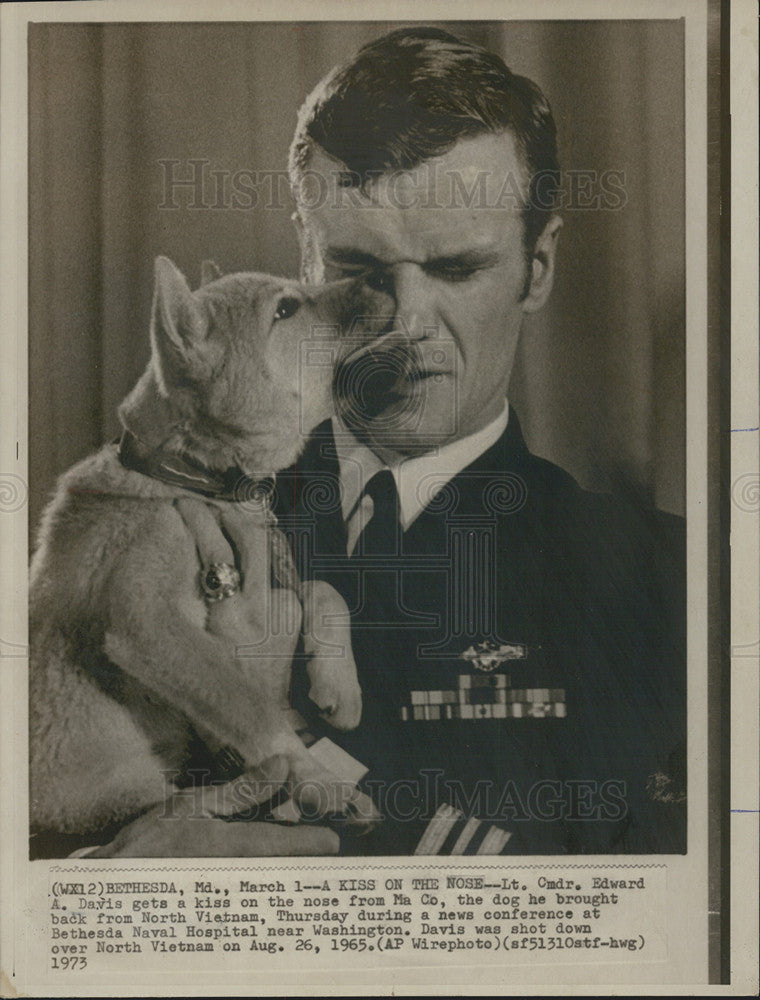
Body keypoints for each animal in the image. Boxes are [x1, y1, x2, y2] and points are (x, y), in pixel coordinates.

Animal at [29, 254, 388, 840]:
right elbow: (248, 709)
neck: (188, 476)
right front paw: (317, 777)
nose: (385, 275)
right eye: (286, 309)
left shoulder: (279, 567)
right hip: (127, 787)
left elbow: (323, 588)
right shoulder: (147, 622)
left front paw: (341, 684)